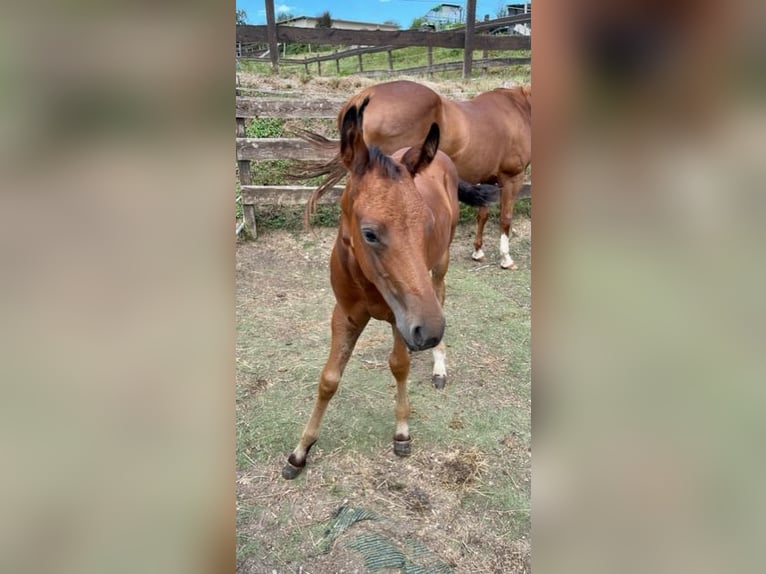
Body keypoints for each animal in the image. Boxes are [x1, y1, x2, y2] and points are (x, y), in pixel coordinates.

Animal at [284, 98, 496, 482]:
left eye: (426, 223)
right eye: (369, 232)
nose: (429, 332)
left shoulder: (404, 315)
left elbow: (398, 365)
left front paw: (402, 432)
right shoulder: (345, 315)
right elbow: (328, 378)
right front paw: (300, 450)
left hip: (439, 267)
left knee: (440, 294)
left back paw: (438, 365)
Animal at [302, 78, 536, 270]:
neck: (519, 108)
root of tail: (367, 95)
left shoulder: (488, 179)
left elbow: (483, 215)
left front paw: (478, 251)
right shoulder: (512, 178)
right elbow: (505, 218)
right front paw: (506, 258)